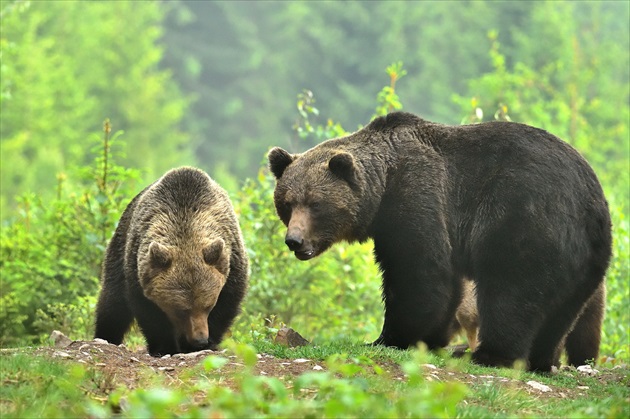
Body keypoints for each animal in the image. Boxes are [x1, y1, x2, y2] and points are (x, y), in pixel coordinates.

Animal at [94, 166, 249, 356]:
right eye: (181, 310)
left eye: (208, 306)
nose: (200, 339)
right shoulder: (138, 269)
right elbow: (149, 313)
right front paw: (165, 347)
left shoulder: (231, 260)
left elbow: (227, 304)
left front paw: (207, 342)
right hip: (119, 249)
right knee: (112, 303)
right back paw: (106, 336)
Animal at [270, 112, 612, 374]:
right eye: (286, 203)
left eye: (315, 204)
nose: (294, 240)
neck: (382, 188)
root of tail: (592, 203)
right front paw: (429, 339)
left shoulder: (417, 196)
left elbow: (419, 273)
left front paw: (389, 337)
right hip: (587, 263)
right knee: (562, 312)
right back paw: (540, 360)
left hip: (525, 221)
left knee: (511, 293)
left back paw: (489, 354)